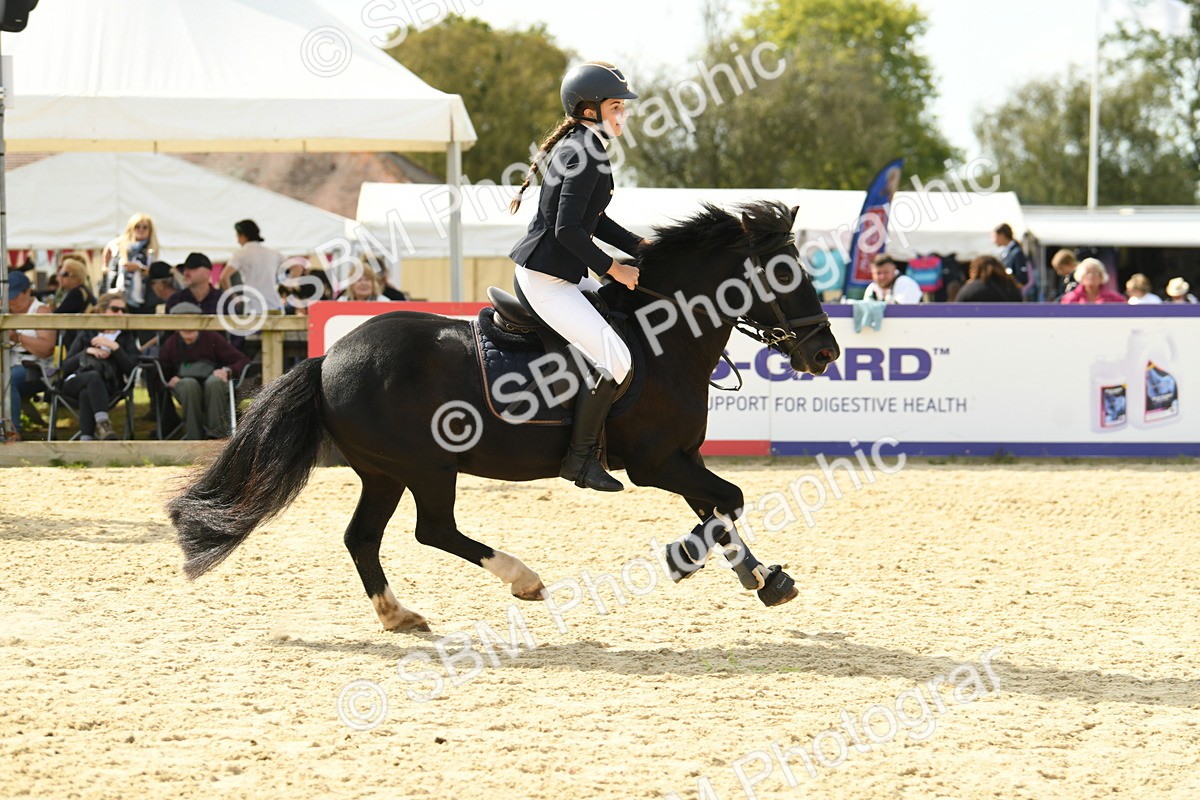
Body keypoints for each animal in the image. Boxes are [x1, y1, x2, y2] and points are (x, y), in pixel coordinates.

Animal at [169, 200, 842, 632]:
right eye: (787, 273)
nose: (825, 353)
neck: (665, 333)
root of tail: (329, 356)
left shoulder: (681, 458)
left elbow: (719, 508)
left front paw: (760, 575)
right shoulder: (655, 463)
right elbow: (728, 501)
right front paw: (694, 560)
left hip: (383, 472)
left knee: (364, 537)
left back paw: (398, 615)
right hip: (425, 467)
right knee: (432, 531)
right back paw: (523, 578)